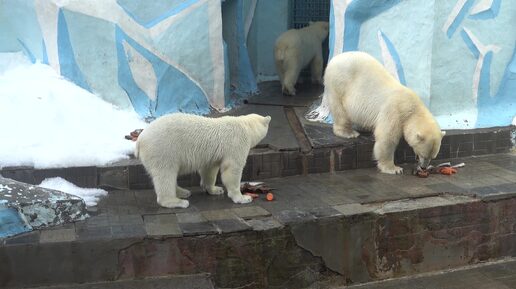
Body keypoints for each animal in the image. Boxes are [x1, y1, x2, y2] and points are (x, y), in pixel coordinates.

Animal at [135, 112, 272, 207]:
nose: (269, 118)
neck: (246, 126)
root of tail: (140, 140)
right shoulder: (236, 143)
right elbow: (232, 169)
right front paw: (243, 198)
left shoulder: (212, 155)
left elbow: (209, 170)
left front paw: (215, 189)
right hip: (163, 150)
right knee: (166, 174)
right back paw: (177, 201)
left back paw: (183, 192)